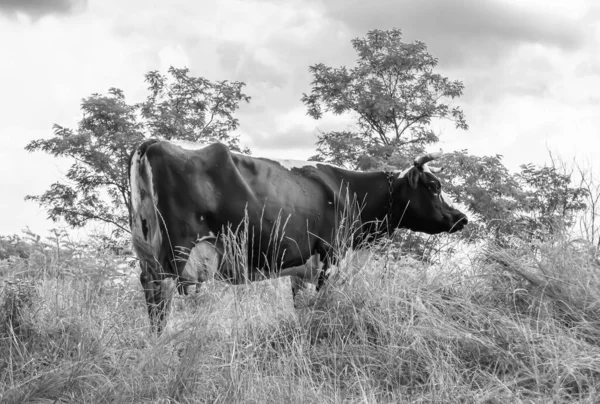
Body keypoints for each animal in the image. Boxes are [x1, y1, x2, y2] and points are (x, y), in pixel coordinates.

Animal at [129, 140, 466, 334]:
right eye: (434, 186)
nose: (461, 218)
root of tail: (153, 142)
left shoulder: (302, 269)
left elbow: (302, 310)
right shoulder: (332, 256)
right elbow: (326, 305)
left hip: (148, 252)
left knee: (151, 293)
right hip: (175, 253)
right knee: (162, 299)